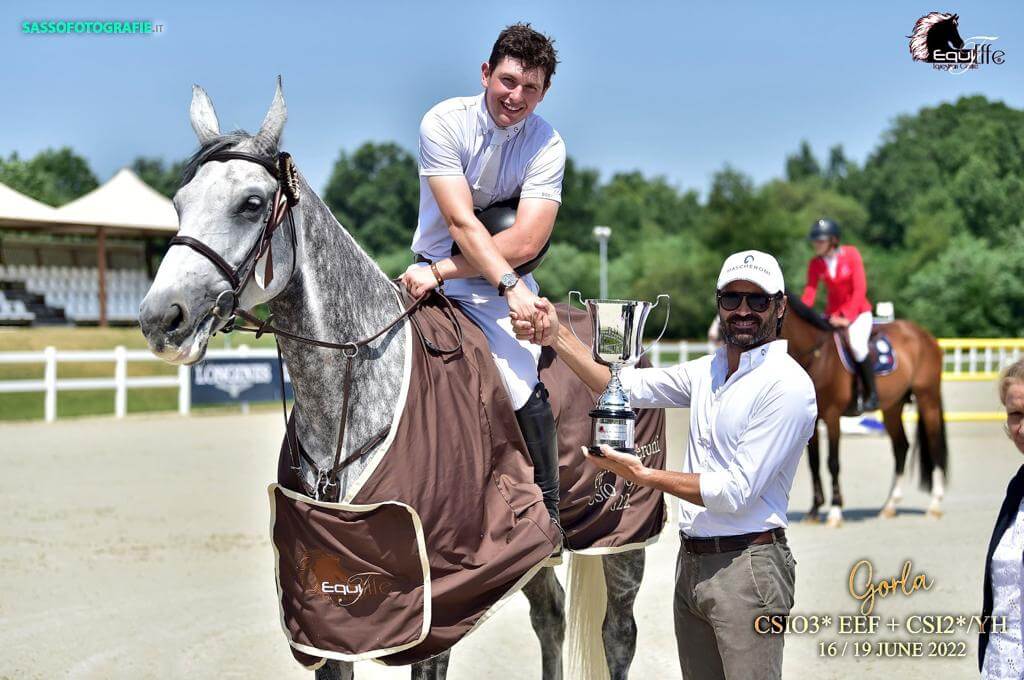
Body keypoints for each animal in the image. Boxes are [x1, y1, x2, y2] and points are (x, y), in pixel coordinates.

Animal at [139, 79, 643, 680]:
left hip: (623, 541)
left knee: (618, 635)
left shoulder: (444, 606)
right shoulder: (327, 612)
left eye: (251, 204)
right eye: (178, 204)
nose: (161, 318)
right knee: (551, 614)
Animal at [782, 292, 950, 524]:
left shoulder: (832, 416)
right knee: (901, 447)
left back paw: (934, 503)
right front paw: (814, 510)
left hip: (928, 399)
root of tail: (925, 336)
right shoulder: (813, 424)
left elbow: (832, 462)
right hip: (892, 408)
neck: (817, 355)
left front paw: (835, 510)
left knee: (935, 446)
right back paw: (890, 505)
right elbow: (813, 463)